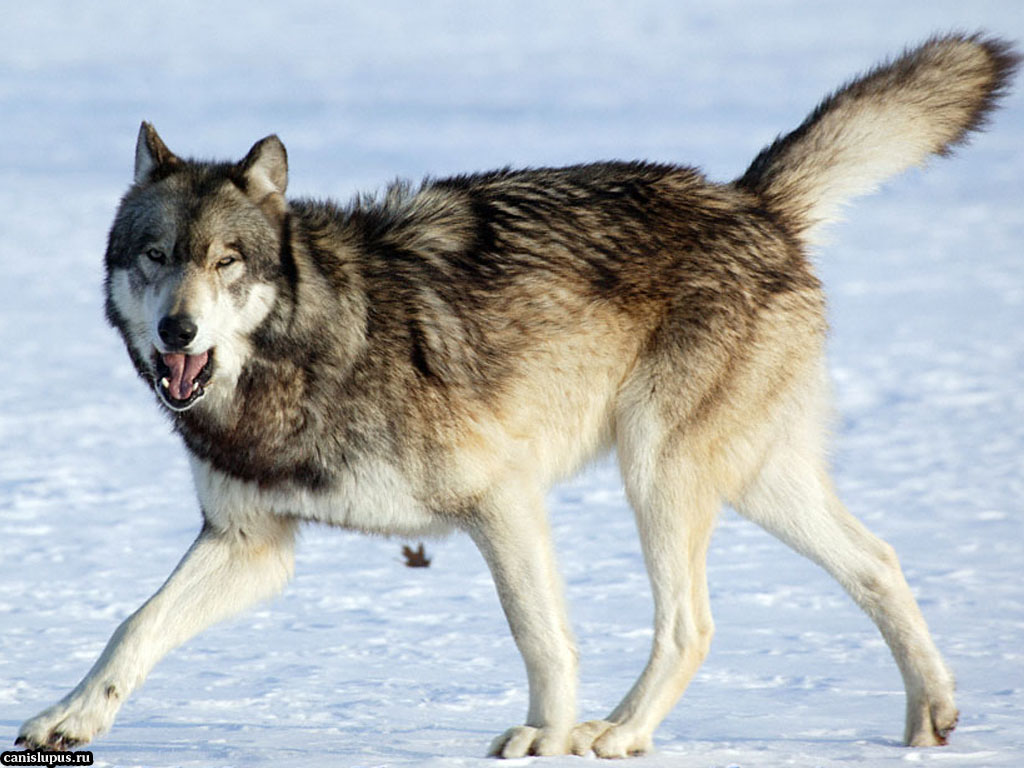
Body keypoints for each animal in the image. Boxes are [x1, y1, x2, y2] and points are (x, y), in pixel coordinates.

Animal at [14, 34, 1015, 757]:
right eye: (156, 256)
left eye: (227, 261)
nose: (177, 333)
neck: (310, 349)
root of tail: (750, 200)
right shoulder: (250, 544)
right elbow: (132, 627)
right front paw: (71, 719)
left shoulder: (502, 497)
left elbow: (540, 634)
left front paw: (547, 735)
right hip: (751, 481)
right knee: (879, 560)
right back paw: (928, 718)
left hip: (659, 473)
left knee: (691, 624)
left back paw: (620, 733)